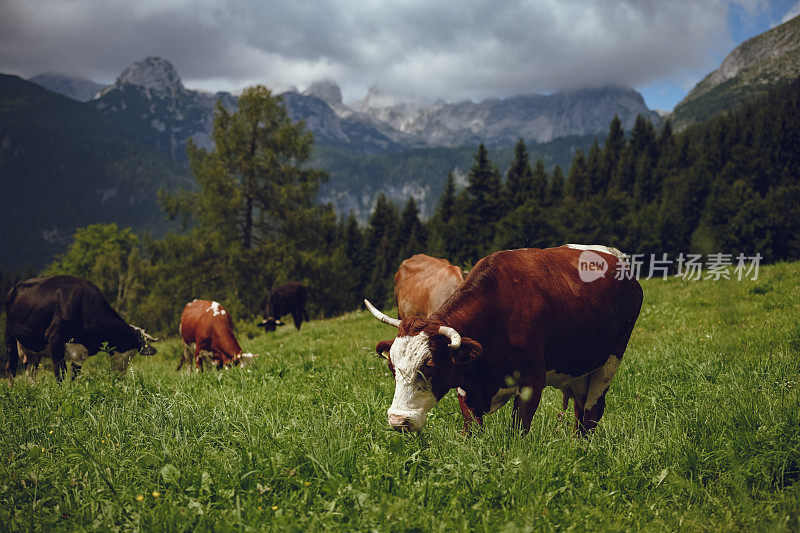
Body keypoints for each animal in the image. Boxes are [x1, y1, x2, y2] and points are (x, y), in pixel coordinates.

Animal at [3, 274, 158, 382]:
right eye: (129, 355)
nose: (120, 376)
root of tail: (14, 288)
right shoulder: (54, 338)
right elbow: (60, 373)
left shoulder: (80, 354)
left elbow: (74, 376)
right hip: (10, 337)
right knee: (10, 369)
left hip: (33, 349)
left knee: (30, 373)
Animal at [368, 245, 644, 436]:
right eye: (392, 367)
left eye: (430, 366)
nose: (398, 420)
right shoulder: (466, 386)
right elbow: (473, 430)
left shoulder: (533, 380)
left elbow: (517, 431)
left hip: (608, 364)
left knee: (591, 412)